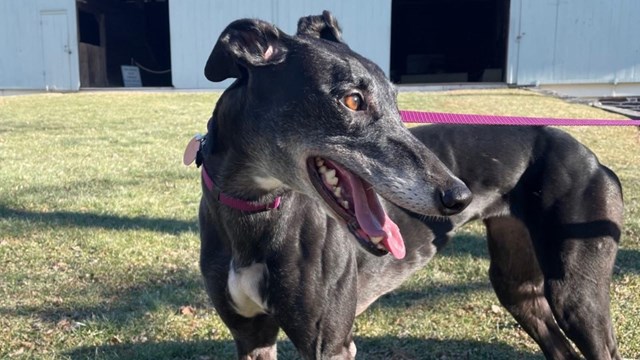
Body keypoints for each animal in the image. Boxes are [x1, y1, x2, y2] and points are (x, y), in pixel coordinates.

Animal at [192, 11, 624, 360]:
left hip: (576, 294)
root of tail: (592, 158)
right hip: (517, 285)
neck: (254, 207)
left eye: (396, 101)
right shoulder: (252, 336)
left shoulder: (330, 343)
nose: (459, 196)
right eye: (352, 100)